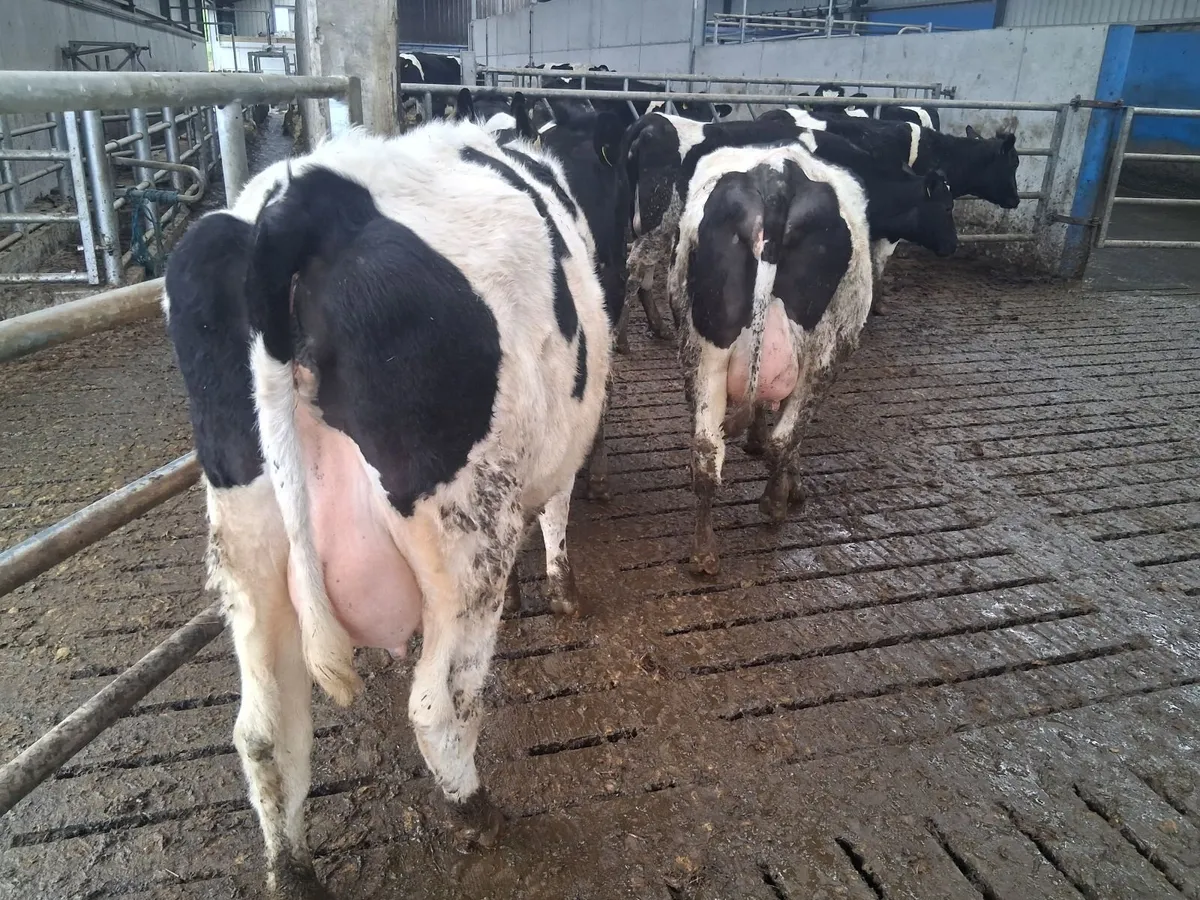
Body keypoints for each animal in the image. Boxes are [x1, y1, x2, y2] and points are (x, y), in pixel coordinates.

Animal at [161, 122, 611, 897]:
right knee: (439, 703)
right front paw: (562, 590)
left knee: (265, 730)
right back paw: (475, 813)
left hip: (246, 533)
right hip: (464, 531)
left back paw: (293, 870)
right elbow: (556, 514)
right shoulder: (559, 452)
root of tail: (302, 202)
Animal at [668, 142, 875, 575]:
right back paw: (774, 505)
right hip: (824, 353)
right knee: (786, 438)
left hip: (704, 346)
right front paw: (793, 485)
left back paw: (704, 552)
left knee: (706, 449)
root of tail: (779, 179)